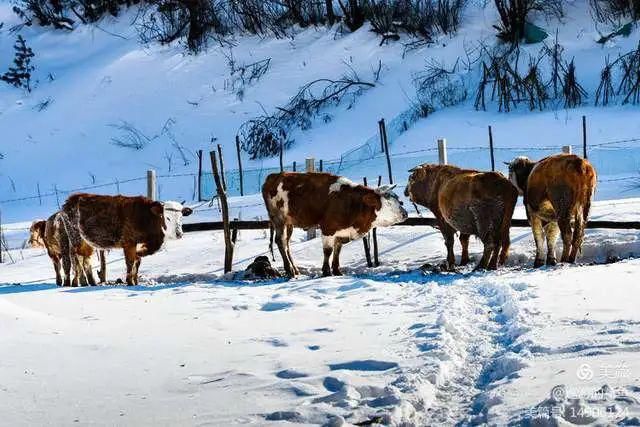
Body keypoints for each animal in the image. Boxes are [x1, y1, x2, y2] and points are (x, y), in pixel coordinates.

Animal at [62, 196, 192, 286]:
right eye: (167, 217)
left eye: (181, 217)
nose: (179, 234)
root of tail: (71, 199)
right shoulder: (129, 242)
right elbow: (130, 262)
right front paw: (130, 282)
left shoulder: (139, 245)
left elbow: (137, 262)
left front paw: (135, 281)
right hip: (75, 237)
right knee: (75, 258)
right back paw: (78, 281)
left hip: (86, 242)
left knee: (85, 259)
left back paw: (90, 282)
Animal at [262, 172, 408, 280]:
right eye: (388, 202)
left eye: (399, 200)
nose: (405, 213)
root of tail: (274, 175)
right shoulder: (328, 228)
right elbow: (328, 251)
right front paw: (326, 271)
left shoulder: (341, 231)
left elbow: (338, 249)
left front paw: (337, 270)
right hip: (279, 219)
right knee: (280, 241)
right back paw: (289, 270)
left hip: (289, 223)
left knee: (287, 244)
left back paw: (295, 269)